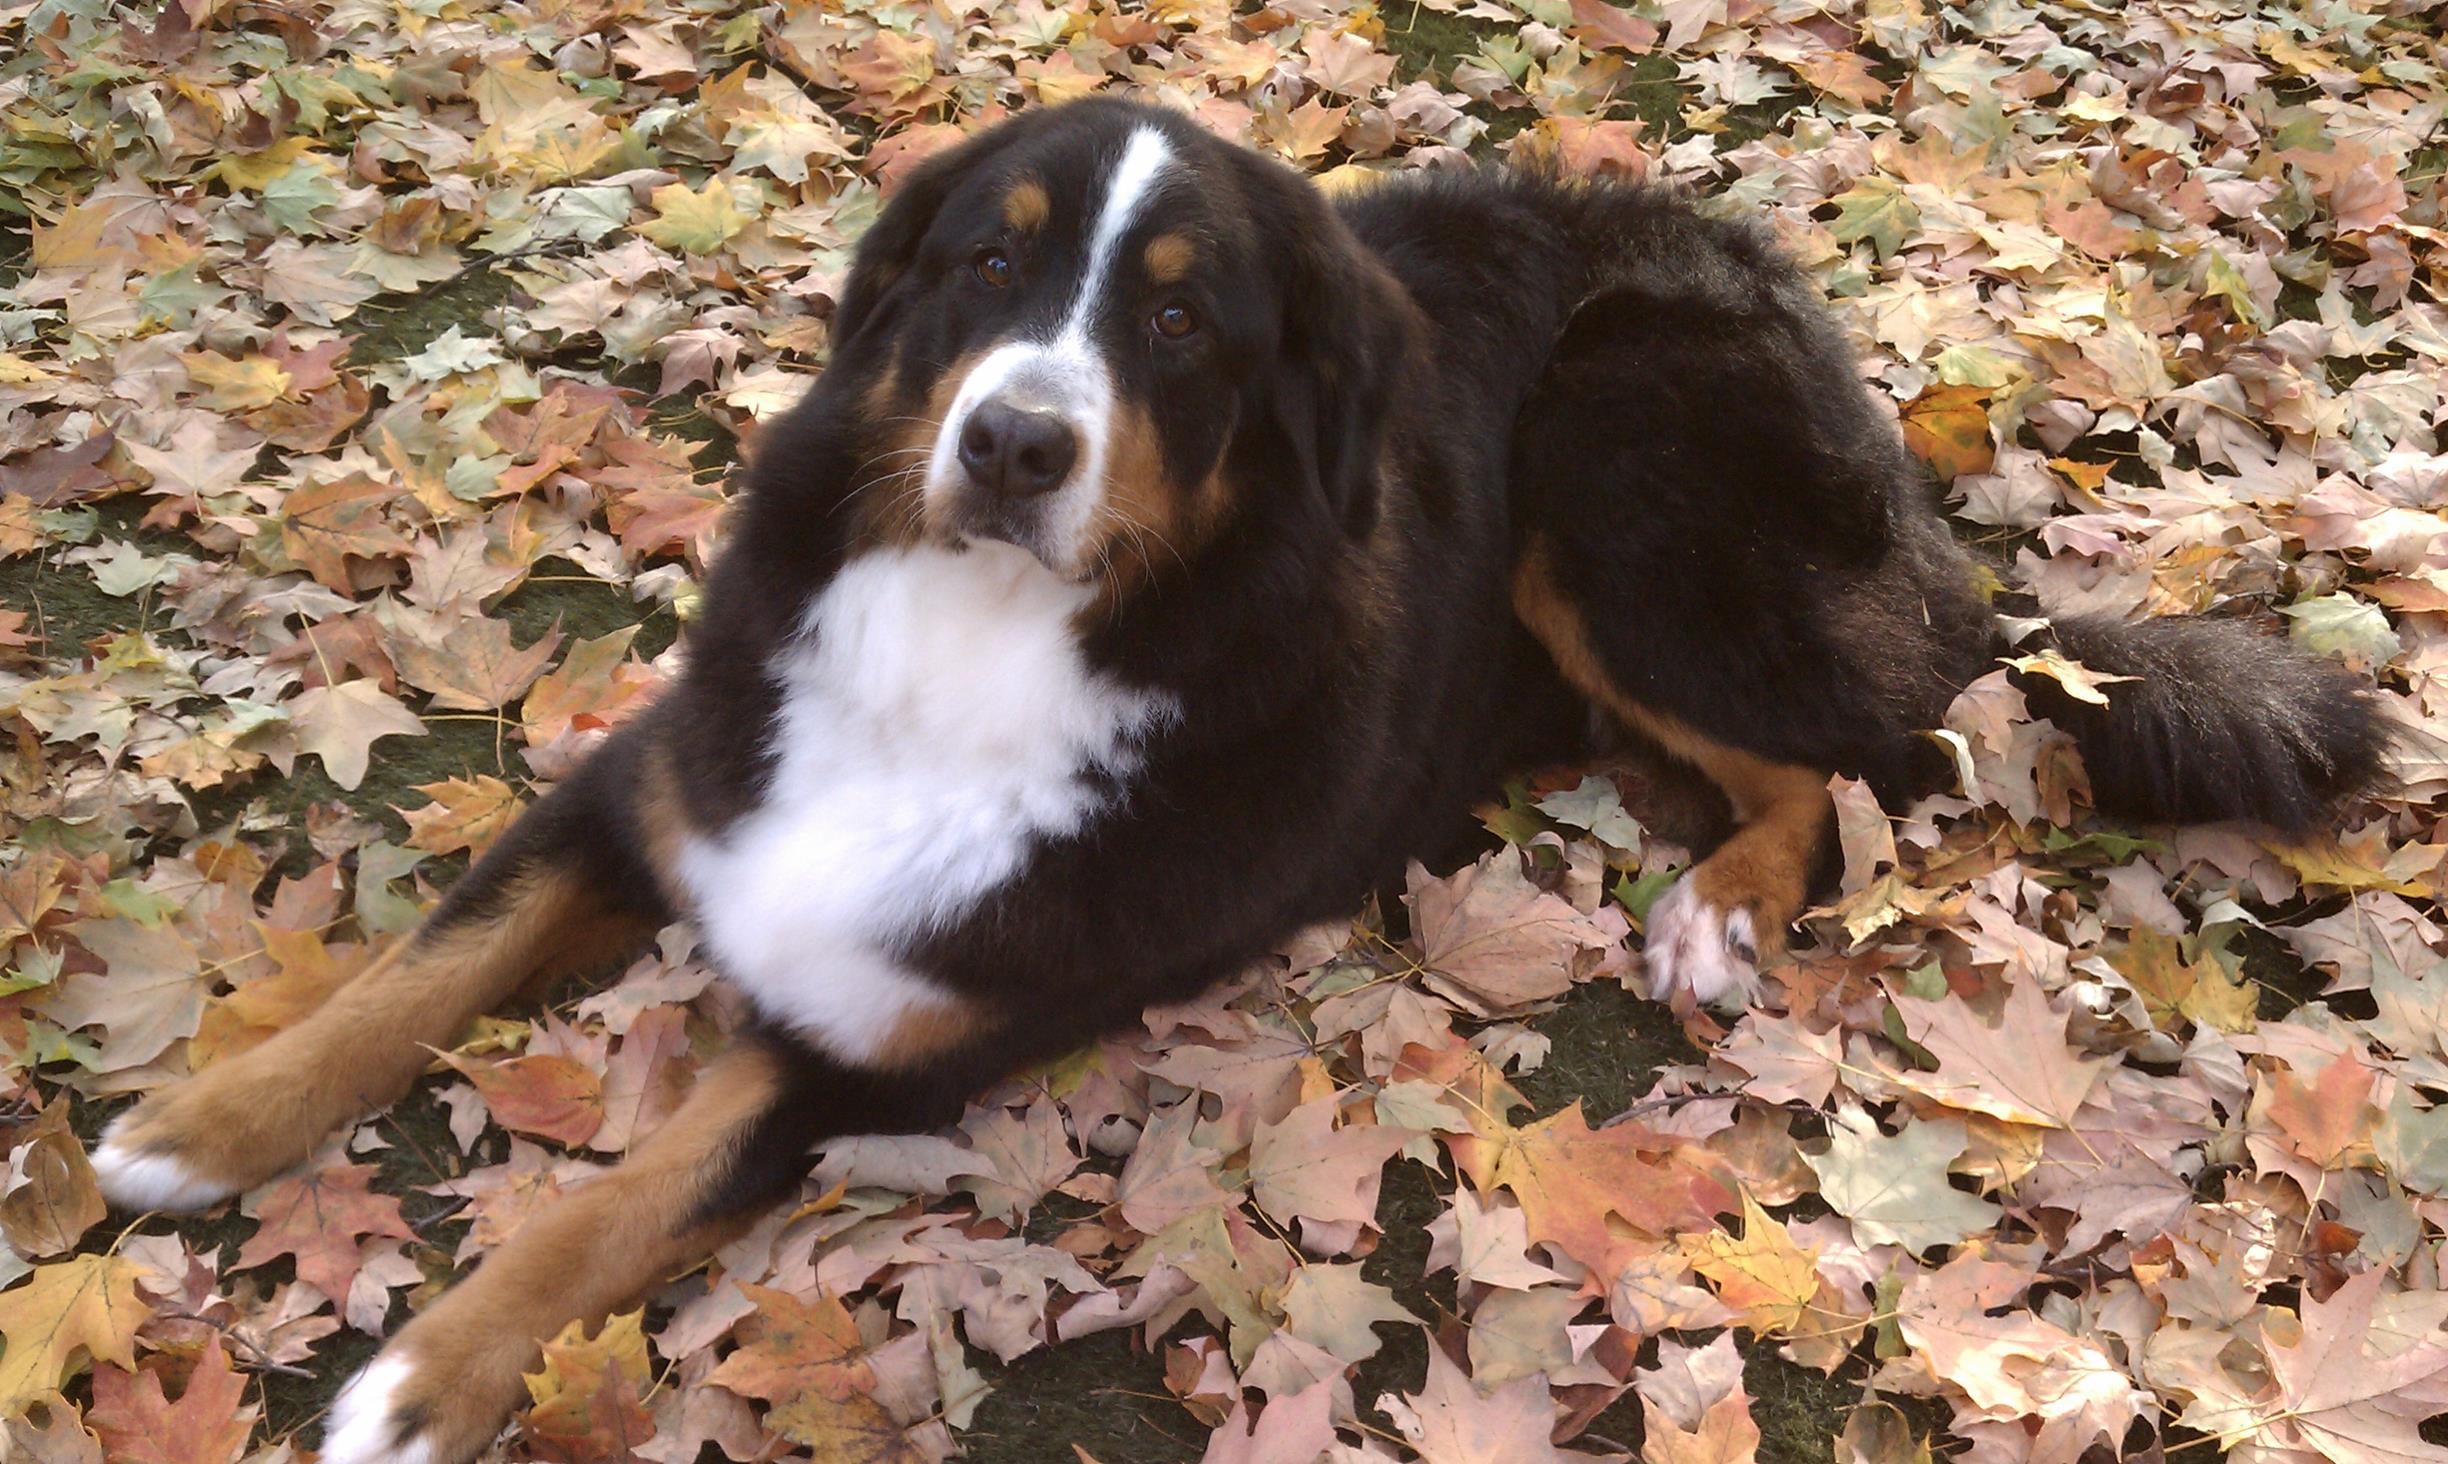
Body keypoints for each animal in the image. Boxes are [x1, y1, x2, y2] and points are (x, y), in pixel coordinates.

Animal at [81, 97, 2389, 1459]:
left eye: (1182, 329)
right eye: (988, 265)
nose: (1016, 440)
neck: (976, 643)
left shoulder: (888, 1040)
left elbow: (623, 1192)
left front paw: (427, 1370)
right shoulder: (666, 779)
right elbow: (426, 960)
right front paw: (205, 1121)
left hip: (1612, 466)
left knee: (1856, 760)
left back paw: (1720, 913)